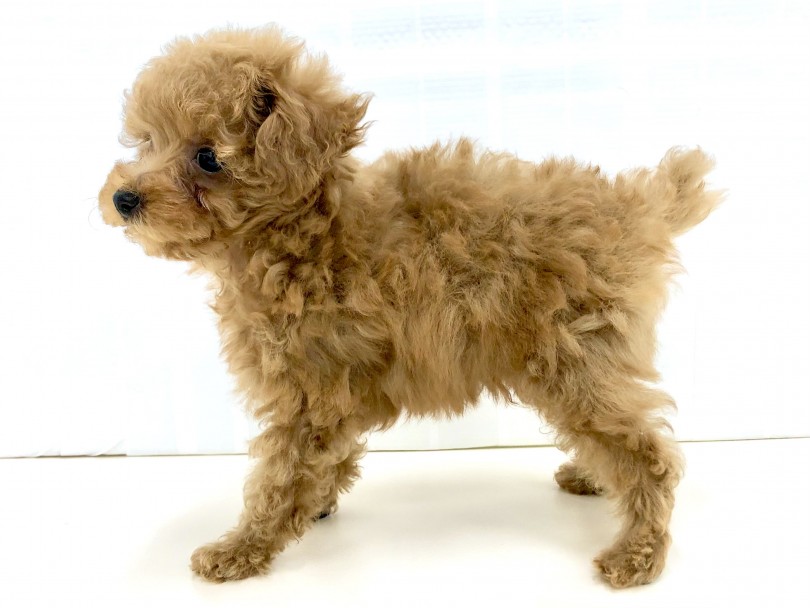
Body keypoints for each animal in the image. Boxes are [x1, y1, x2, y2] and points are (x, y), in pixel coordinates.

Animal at [99, 26, 721, 587]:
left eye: (208, 158)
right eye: (147, 143)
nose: (123, 198)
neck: (307, 230)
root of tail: (637, 205)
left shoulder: (310, 390)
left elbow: (280, 474)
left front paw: (241, 549)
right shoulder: (334, 387)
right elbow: (322, 459)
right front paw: (316, 504)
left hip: (576, 358)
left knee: (647, 453)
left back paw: (637, 554)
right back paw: (594, 480)